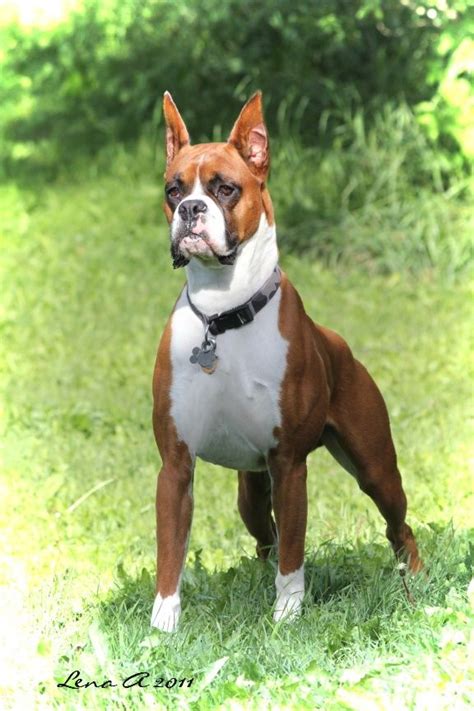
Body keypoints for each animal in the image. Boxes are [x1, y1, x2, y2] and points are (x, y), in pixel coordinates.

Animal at [149, 92, 422, 632]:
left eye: (225, 189)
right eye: (173, 190)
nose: (191, 209)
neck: (224, 316)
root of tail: (336, 342)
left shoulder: (291, 465)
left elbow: (295, 553)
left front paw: (288, 615)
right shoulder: (176, 467)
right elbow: (171, 554)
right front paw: (161, 628)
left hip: (375, 469)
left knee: (397, 527)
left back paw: (416, 579)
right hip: (252, 493)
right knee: (265, 538)